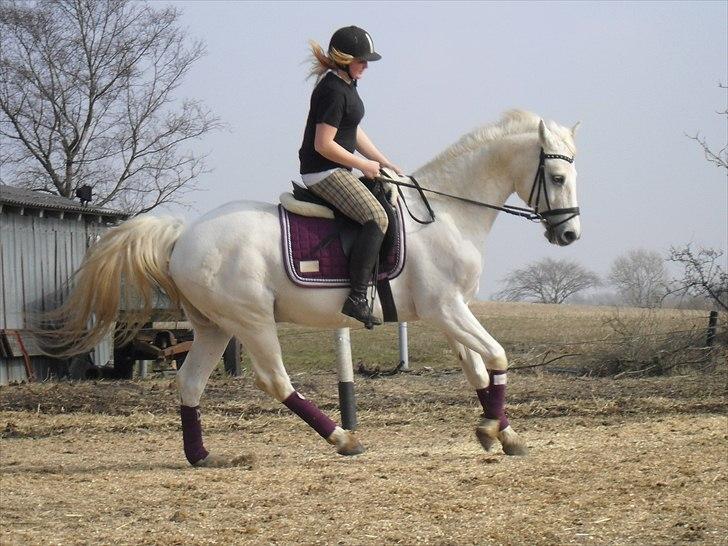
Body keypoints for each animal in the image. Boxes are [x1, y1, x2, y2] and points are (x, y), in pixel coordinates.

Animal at [48, 109, 584, 464]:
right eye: (558, 176)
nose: (570, 236)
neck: (447, 211)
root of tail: (183, 235)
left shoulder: (451, 311)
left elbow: (477, 369)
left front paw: (501, 433)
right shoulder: (446, 309)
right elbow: (496, 356)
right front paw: (496, 427)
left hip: (214, 327)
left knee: (190, 383)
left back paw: (201, 455)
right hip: (251, 320)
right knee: (274, 380)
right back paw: (343, 439)